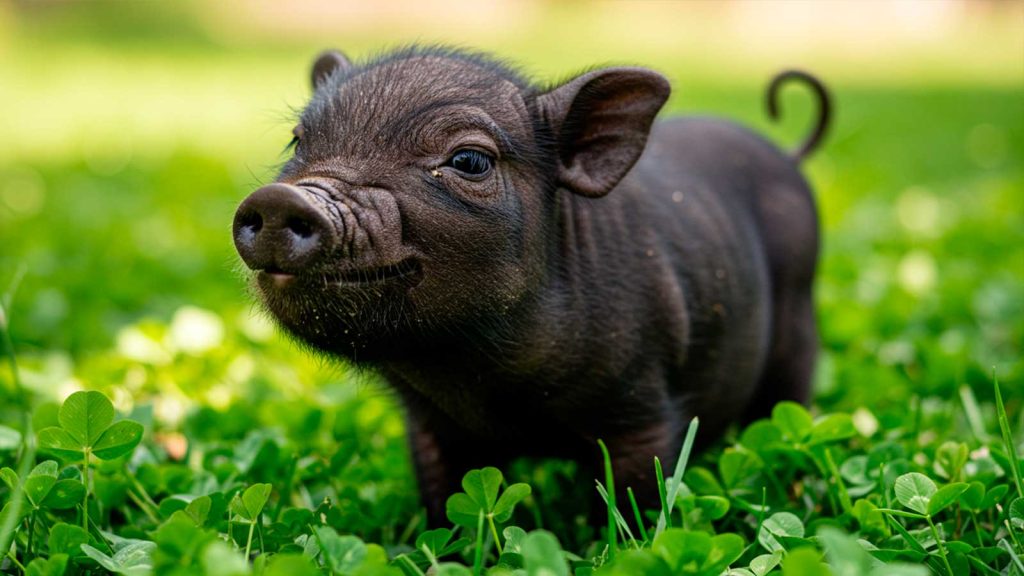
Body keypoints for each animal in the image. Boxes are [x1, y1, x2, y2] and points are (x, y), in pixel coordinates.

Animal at [232, 46, 831, 524]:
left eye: (468, 159)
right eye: (296, 142)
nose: (282, 199)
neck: (486, 380)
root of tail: (788, 153)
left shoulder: (643, 407)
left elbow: (639, 499)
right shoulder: (430, 428)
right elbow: (444, 505)